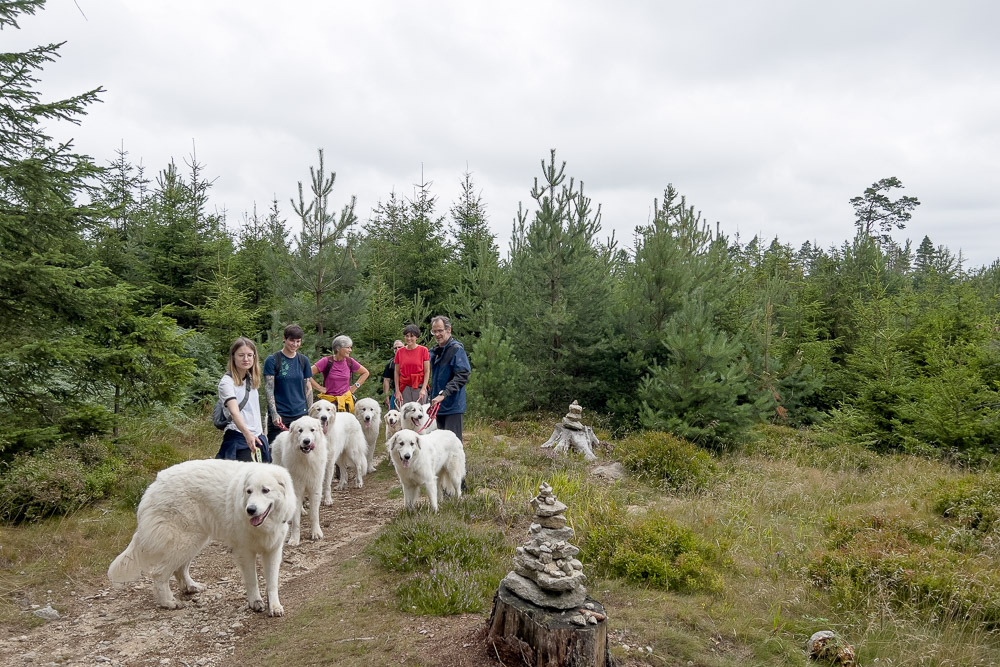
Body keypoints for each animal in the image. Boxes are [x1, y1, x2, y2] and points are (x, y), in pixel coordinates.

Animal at [110, 460, 296, 616]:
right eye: (249, 491)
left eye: (265, 490)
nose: (250, 510)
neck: (265, 524)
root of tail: (154, 485)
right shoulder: (245, 552)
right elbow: (252, 580)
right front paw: (255, 602)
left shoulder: (273, 551)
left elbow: (272, 582)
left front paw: (275, 606)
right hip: (185, 541)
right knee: (159, 574)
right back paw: (169, 602)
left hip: (195, 540)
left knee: (179, 569)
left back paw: (191, 587)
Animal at [272, 418, 326, 548]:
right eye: (300, 430)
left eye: (312, 430)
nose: (306, 441)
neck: (306, 460)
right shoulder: (296, 489)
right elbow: (296, 521)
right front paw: (294, 539)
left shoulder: (315, 489)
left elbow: (314, 515)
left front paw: (316, 533)